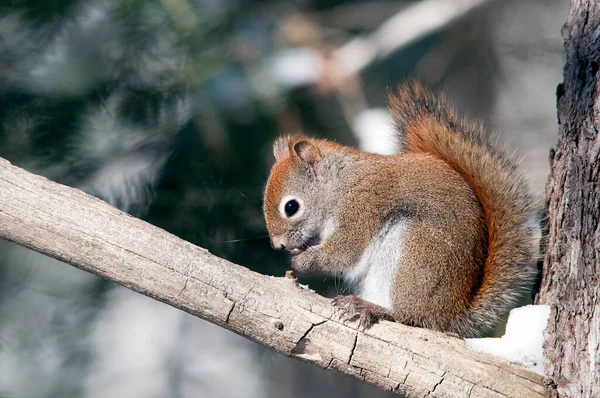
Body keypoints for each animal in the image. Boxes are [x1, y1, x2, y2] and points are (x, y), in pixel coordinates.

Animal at [262, 82, 540, 338]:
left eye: (291, 207)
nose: (278, 245)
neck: (340, 186)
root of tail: (450, 313)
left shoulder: (362, 209)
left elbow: (345, 252)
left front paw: (303, 260)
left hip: (416, 256)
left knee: (409, 316)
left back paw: (373, 308)